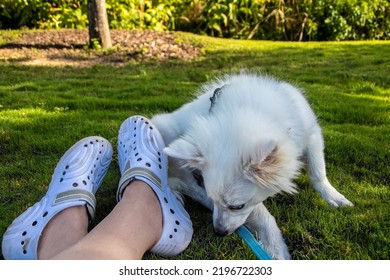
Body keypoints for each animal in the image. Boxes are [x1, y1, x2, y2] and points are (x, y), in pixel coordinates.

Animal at [152, 71, 354, 260]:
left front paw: (333, 196)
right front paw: (275, 247)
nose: (219, 232)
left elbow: (318, 173)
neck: (256, 111)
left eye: (237, 206)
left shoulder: (312, 135)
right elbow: (263, 215)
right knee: (191, 188)